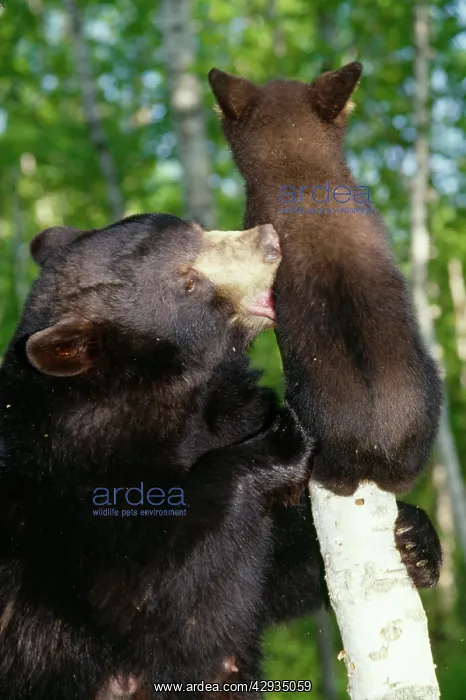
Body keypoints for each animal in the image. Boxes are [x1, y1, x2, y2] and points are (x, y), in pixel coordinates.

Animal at [0, 212, 441, 700]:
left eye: (196, 228)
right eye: (188, 283)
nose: (270, 242)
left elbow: (265, 575)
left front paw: (417, 538)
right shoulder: (69, 505)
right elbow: (164, 609)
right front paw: (285, 434)